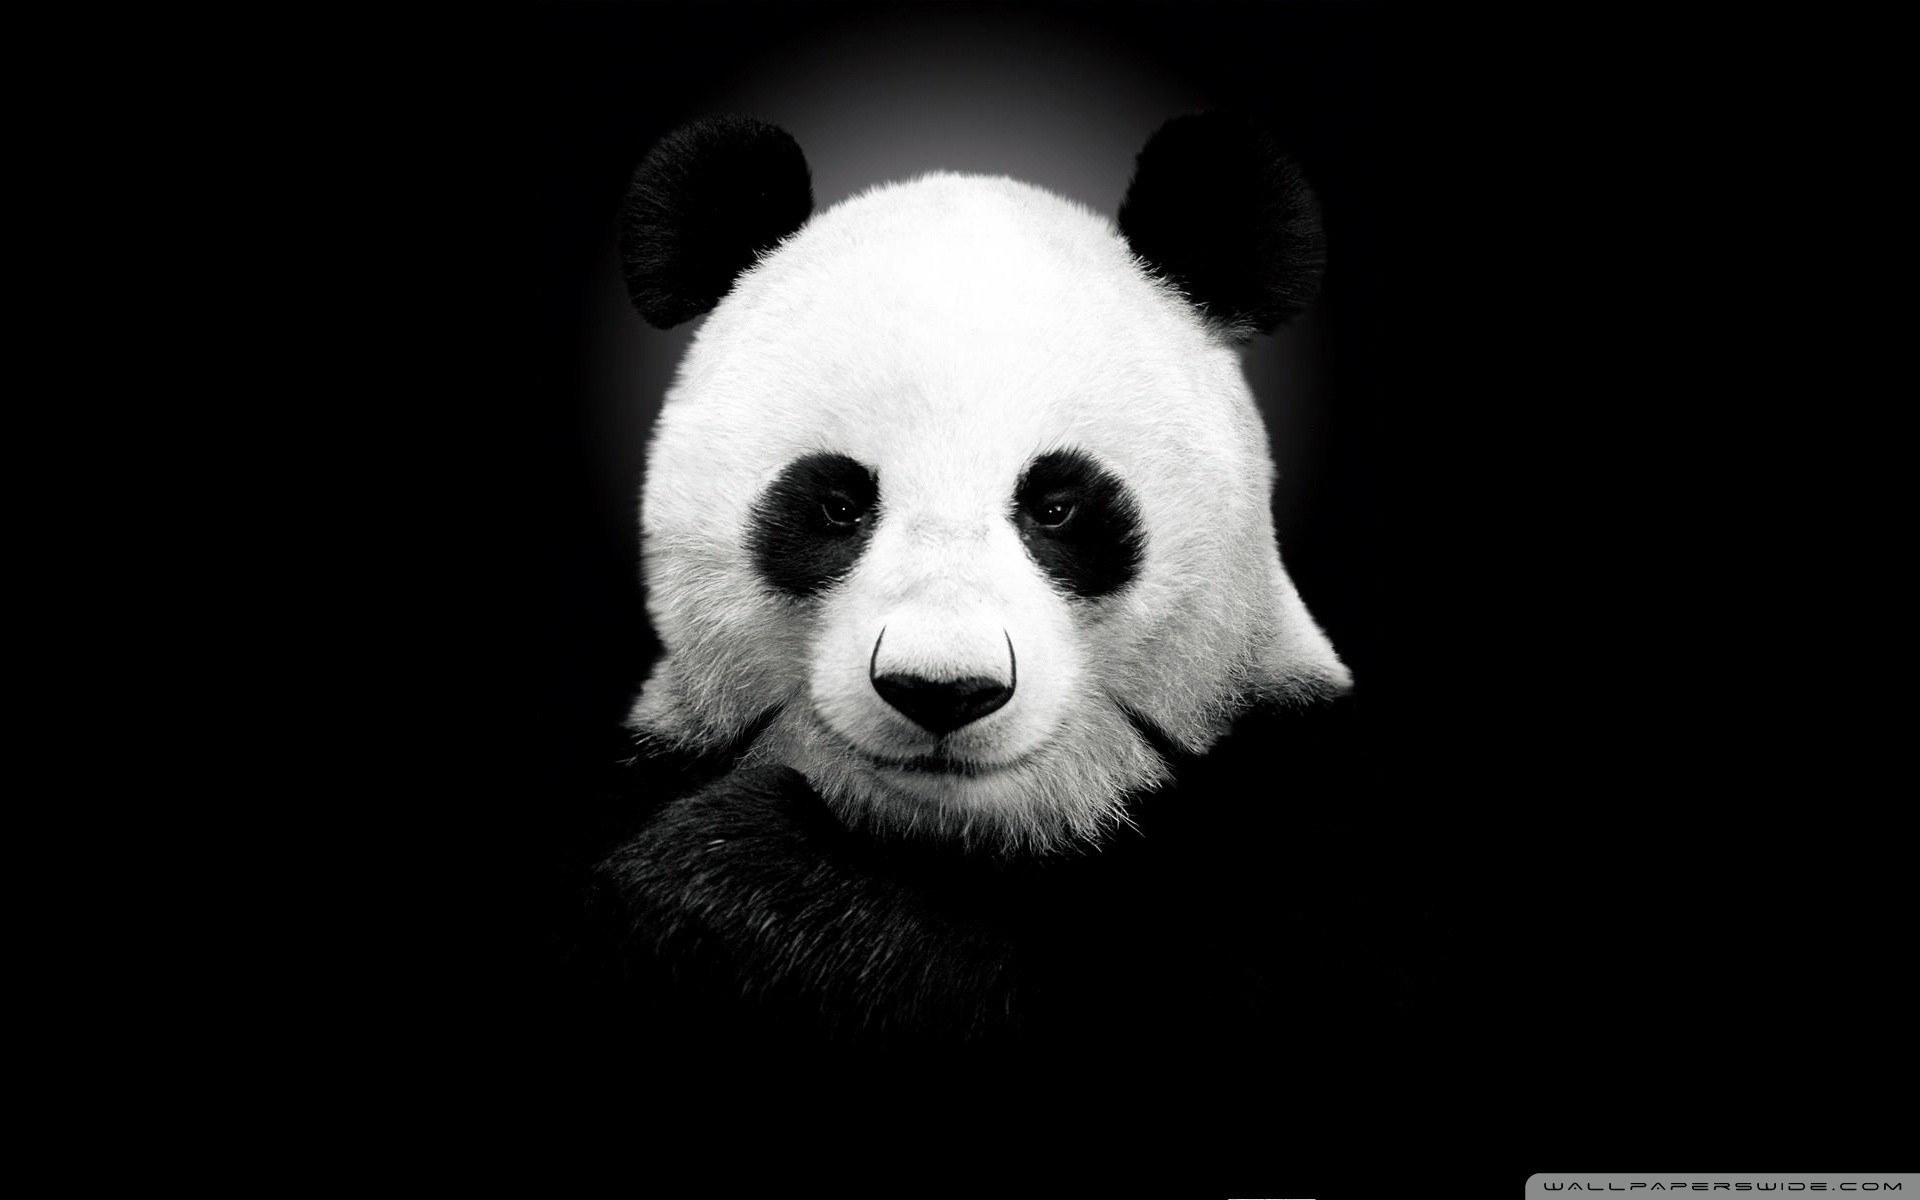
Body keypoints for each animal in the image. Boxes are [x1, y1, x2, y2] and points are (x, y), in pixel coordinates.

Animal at [577, 113, 1404, 1066]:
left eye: (1057, 506)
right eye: (837, 505)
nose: (943, 690)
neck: (956, 838)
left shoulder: (1293, 824)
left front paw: (732, 879)